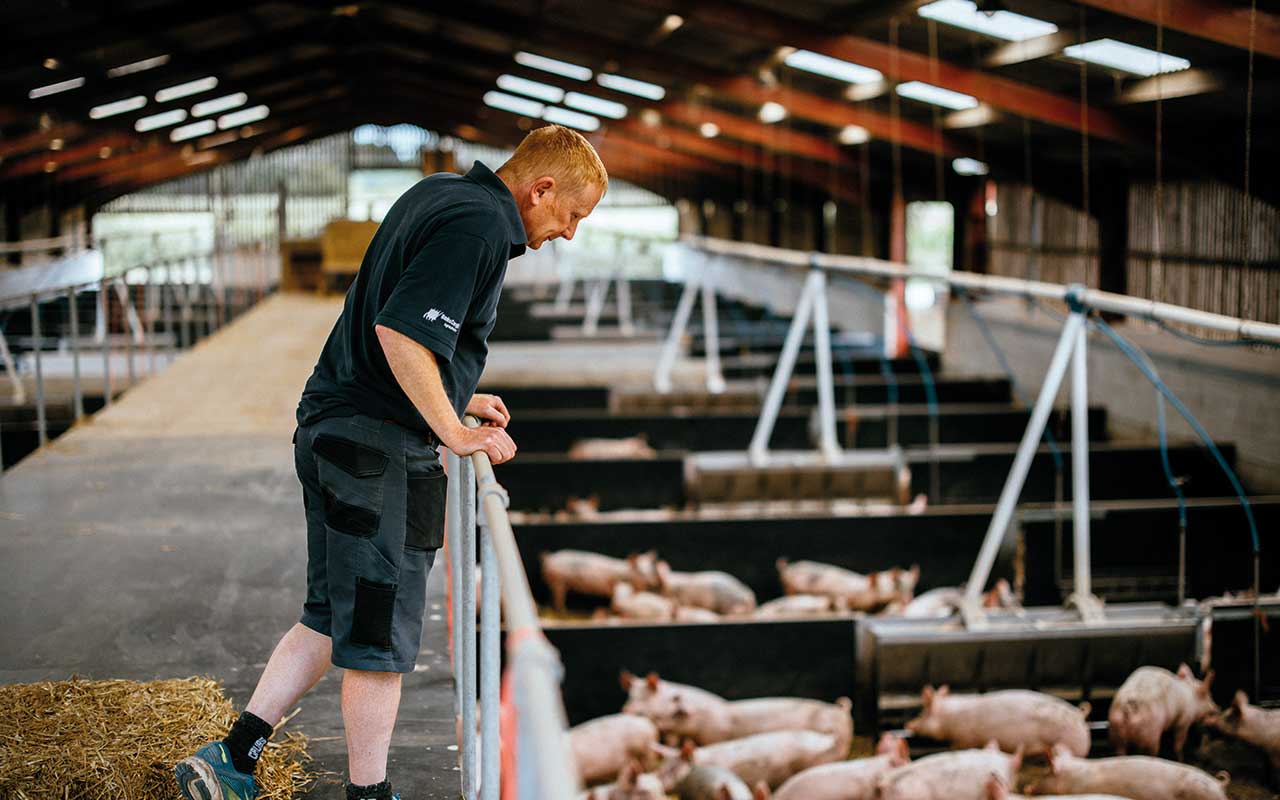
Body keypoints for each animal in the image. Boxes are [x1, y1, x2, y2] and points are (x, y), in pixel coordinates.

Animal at [901, 686, 1090, 752]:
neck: (950, 718)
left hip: (1073, 745)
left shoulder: (965, 738)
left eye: (922, 713)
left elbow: (958, 746)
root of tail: (1079, 715)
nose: (907, 723)